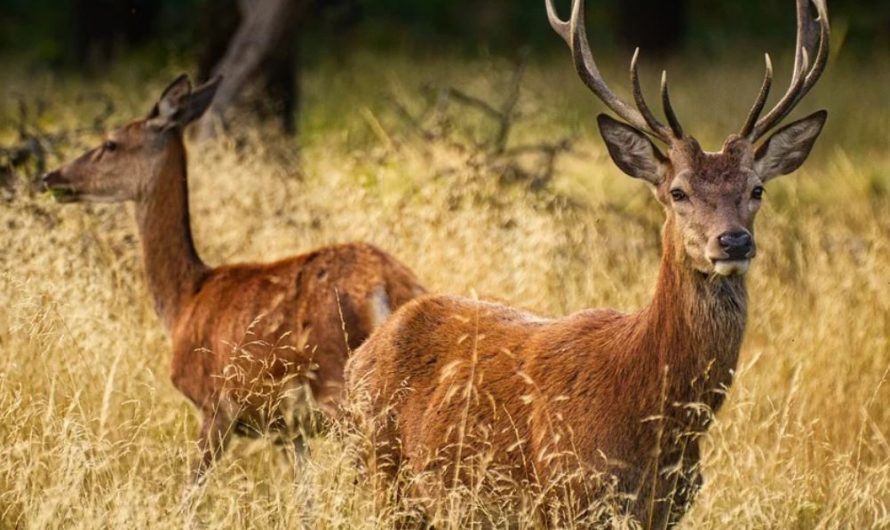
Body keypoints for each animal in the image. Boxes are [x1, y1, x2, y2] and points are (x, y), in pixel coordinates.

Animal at [41, 74, 425, 481]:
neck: (184, 301)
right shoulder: (289, 430)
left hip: (339, 384)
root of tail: (387, 286)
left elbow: (191, 487)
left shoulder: (215, 404)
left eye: (110, 143)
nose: (51, 177)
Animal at [345, 0, 829, 526]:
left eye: (757, 189)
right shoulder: (566, 492)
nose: (734, 241)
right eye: (678, 192)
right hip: (379, 473)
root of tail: (362, 353)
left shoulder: (669, 507)